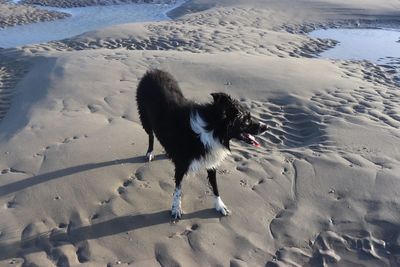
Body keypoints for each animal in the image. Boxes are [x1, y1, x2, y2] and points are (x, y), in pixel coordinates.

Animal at [136, 69, 268, 220]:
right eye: (246, 120)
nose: (266, 127)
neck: (213, 129)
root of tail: (153, 71)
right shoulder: (181, 165)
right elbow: (178, 189)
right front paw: (176, 209)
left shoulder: (211, 160)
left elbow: (215, 187)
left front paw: (220, 206)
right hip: (145, 117)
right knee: (151, 135)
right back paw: (150, 152)